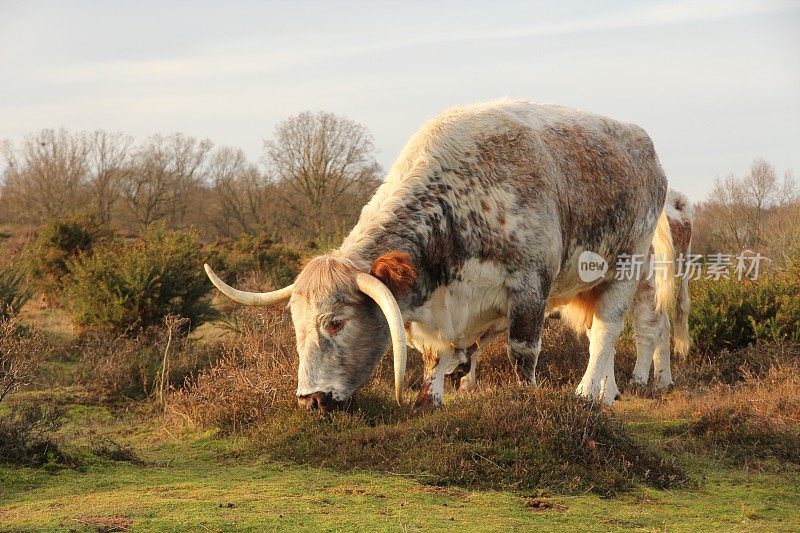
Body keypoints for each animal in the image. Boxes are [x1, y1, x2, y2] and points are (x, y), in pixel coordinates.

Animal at [424, 189, 692, 402]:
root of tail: (676, 202)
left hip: (643, 288)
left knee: (647, 330)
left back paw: (638, 380)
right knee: (661, 327)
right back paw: (662, 380)